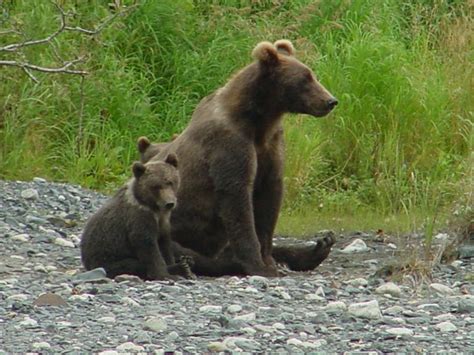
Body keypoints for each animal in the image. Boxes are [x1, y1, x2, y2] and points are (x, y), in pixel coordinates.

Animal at [150, 40, 336, 276]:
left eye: (312, 75)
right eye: (305, 79)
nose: (330, 101)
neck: (259, 120)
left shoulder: (271, 146)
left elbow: (269, 201)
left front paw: (269, 260)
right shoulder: (230, 144)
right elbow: (237, 199)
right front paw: (260, 266)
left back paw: (318, 247)